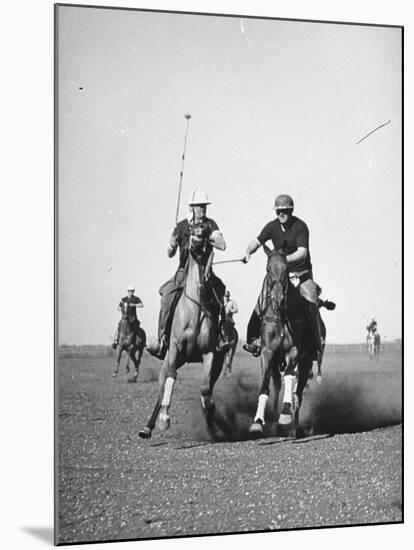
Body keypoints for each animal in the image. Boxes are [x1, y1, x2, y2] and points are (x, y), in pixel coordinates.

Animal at [139, 224, 225, 440]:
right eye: (192, 231)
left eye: (206, 232)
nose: (195, 244)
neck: (195, 308)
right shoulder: (175, 347)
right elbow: (171, 377)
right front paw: (164, 420)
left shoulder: (209, 353)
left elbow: (205, 389)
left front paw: (212, 417)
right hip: (172, 357)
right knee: (162, 387)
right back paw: (148, 427)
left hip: (216, 364)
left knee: (208, 387)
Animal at [247, 246, 316, 440]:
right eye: (268, 269)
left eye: (286, 269)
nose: (277, 298)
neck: (281, 315)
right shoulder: (267, 351)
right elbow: (265, 386)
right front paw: (258, 422)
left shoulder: (293, 350)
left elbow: (290, 378)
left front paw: (285, 416)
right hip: (275, 362)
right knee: (277, 385)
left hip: (306, 362)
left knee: (297, 395)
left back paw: (294, 428)